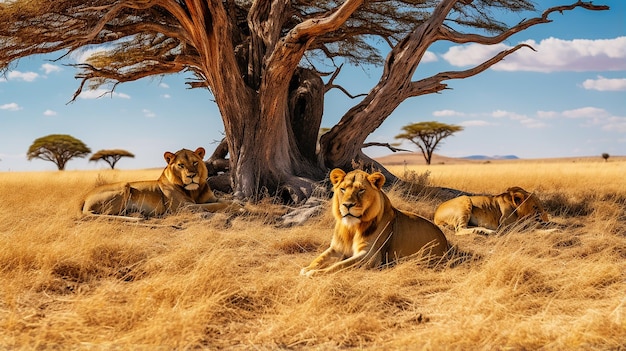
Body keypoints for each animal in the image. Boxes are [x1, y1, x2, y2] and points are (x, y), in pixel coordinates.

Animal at [78, 146, 234, 217]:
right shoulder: (184, 207)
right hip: (124, 185)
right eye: (181, 165)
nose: (191, 176)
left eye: (195, 162)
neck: (194, 191)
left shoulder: (210, 198)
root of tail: (84, 197)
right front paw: (236, 207)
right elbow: (215, 205)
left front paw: (238, 203)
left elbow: (222, 201)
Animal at [298, 168, 448, 278]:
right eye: (343, 189)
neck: (351, 228)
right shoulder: (336, 248)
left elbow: (340, 265)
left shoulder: (370, 255)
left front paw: (315, 273)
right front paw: (307, 268)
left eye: (361, 190)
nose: (347, 205)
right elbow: (320, 258)